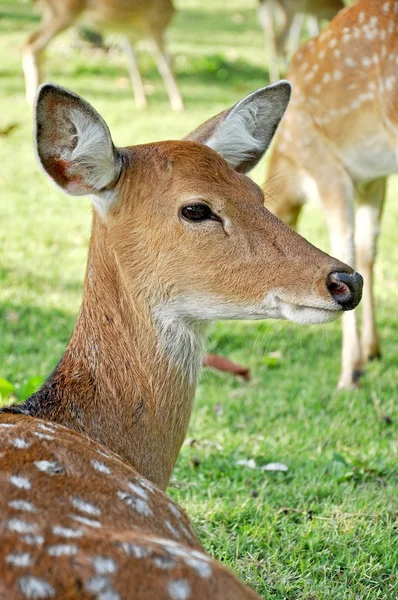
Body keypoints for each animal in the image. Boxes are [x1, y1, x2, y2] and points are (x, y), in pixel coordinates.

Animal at [22, 0, 183, 111]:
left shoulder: (127, 34)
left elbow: (134, 65)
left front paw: (142, 103)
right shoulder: (154, 26)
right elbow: (166, 63)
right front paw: (178, 105)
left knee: (34, 45)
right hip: (62, 14)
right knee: (32, 45)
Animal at [264, 0, 394, 390]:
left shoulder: (326, 166)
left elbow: (346, 253)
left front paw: (351, 371)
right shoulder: (373, 178)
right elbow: (368, 250)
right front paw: (372, 350)